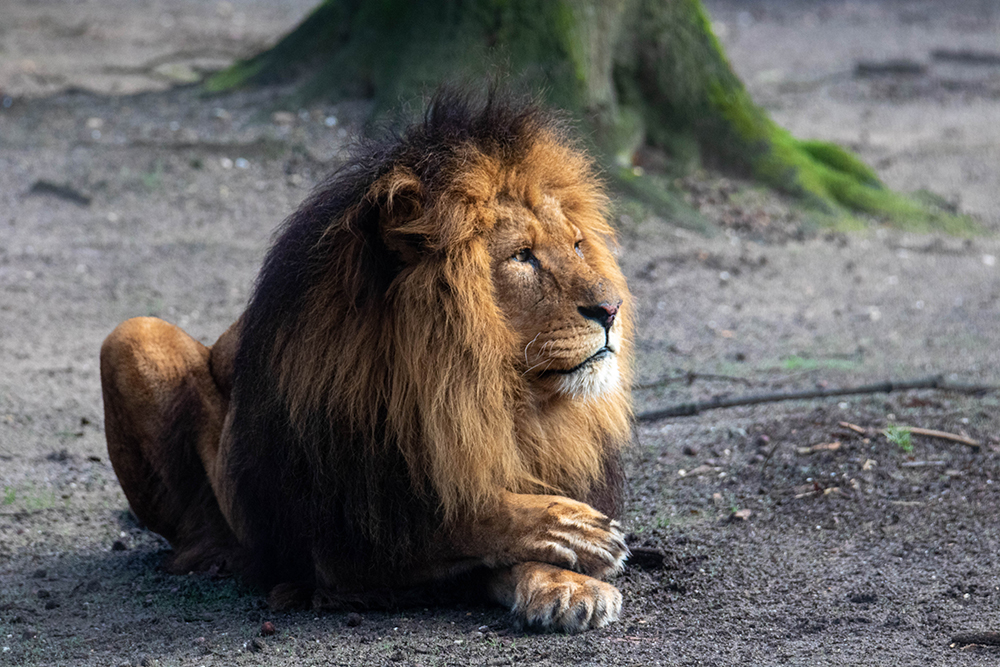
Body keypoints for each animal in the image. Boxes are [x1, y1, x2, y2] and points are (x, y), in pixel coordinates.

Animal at [99, 91, 632, 636]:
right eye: (522, 256)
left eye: (577, 245)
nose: (612, 309)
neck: (484, 399)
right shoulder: (337, 548)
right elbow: (458, 520)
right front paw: (573, 530)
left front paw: (566, 582)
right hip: (133, 336)